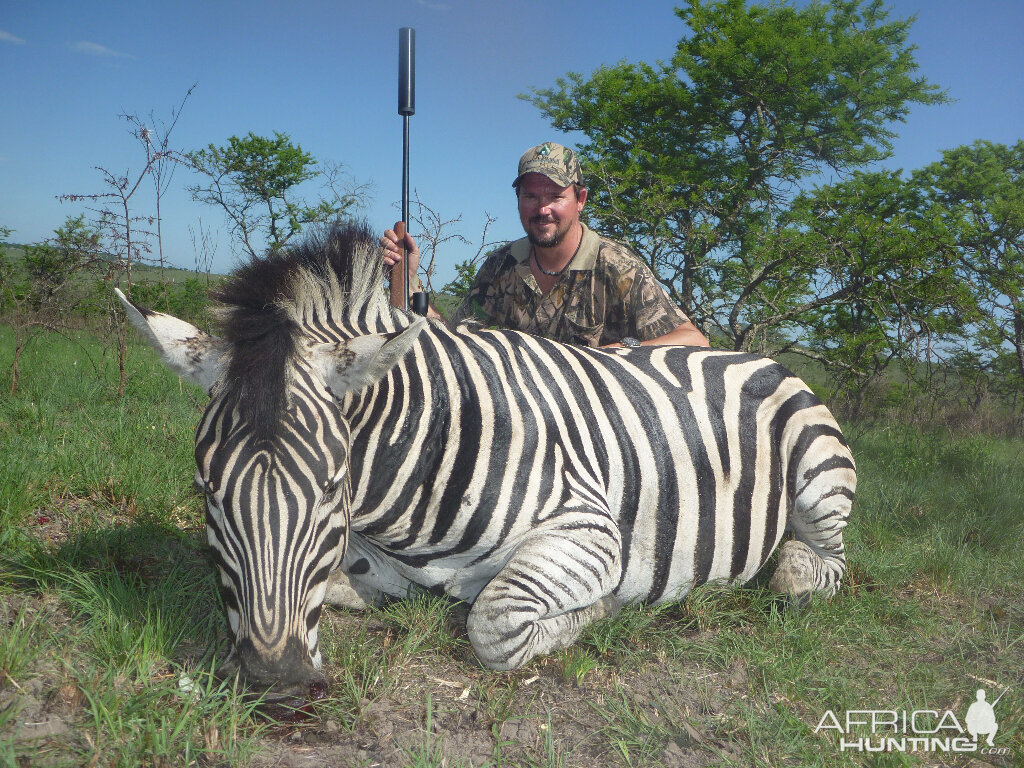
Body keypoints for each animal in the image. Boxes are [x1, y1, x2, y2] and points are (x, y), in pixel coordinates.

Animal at [116, 219, 856, 688]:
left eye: (332, 486)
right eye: (207, 490)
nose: (275, 682)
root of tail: (759, 353)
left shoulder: (593, 532)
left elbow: (494, 624)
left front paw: (598, 612)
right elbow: (343, 587)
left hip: (819, 481)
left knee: (818, 565)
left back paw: (783, 569)